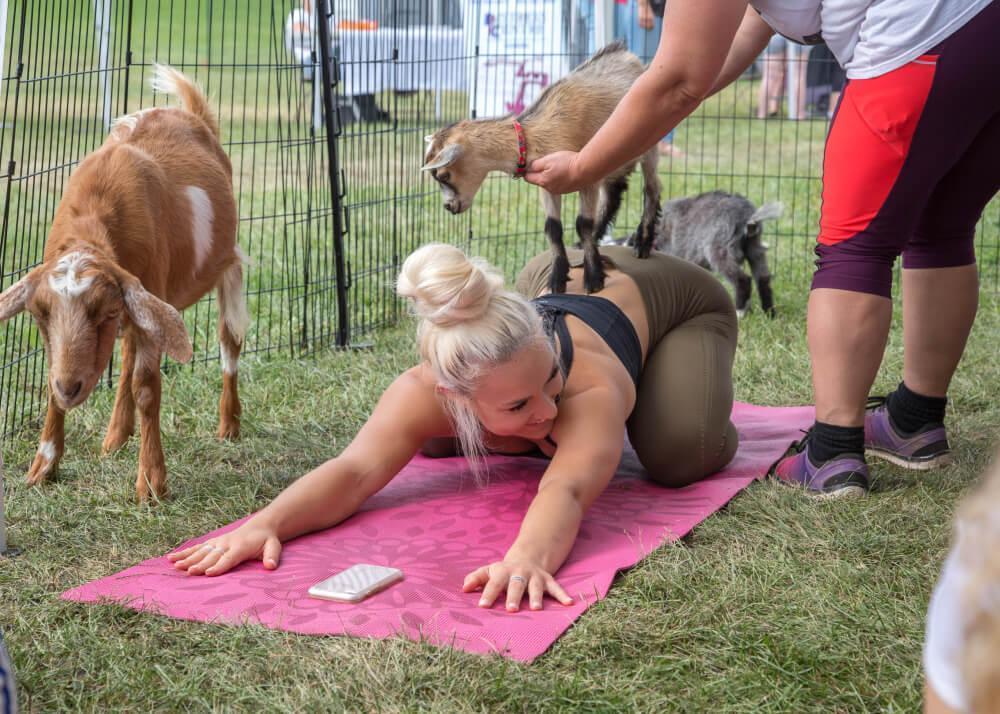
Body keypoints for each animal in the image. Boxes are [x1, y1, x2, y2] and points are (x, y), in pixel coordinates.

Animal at [0, 65, 248, 500]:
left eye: (106, 311)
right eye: (40, 314)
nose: (71, 387)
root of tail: (192, 114)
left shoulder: (146, 294)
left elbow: (147, 387)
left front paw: (151, 481)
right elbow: (54, 381)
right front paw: (43, 466)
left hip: (226, 264)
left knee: (228, 342)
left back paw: (228, 425)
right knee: (130, 353)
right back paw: (115, 436)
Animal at [420, 41, 660, 294]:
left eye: (443, 175)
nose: (449, 207)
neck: (532, 136)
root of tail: (627, 54)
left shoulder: (586, 175)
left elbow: (582, 223)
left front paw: (594, 278)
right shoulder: (549, 182)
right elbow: (552, 227)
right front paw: (557, 278)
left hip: (648, 144)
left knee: (651, 188)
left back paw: (642, 242)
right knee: (614, 193)